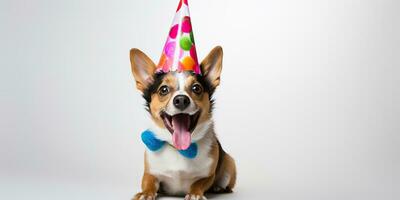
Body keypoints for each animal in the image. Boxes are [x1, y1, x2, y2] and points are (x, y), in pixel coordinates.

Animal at [130, 45, 236, 200]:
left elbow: (199, 182)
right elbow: (148, 182)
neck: (179, 149)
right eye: (163, 90)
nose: (181, 100)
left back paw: (218, 187)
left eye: (196, 88)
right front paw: (145, 193)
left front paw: (194, 194)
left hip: (229, 162)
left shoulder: (208, 175)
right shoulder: (150, 173)